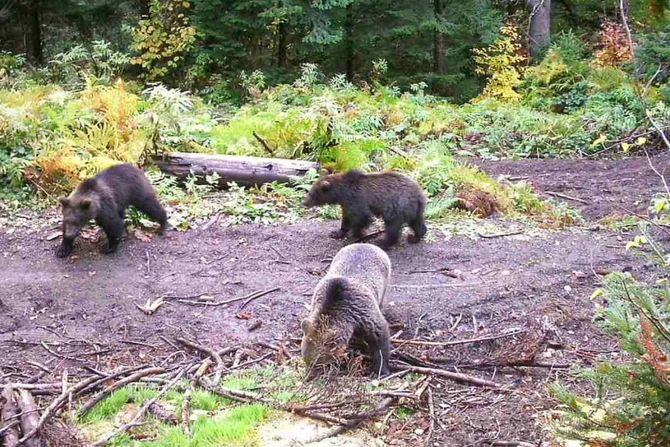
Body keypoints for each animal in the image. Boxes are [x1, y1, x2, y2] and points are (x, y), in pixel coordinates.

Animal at [300, 243, 392, 380]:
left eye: (316, 363)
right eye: (306, 360)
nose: (308, 376)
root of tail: (366, 244)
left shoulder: (363, 313)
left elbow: (380, 336)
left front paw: (382, 369)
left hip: (385, 277)